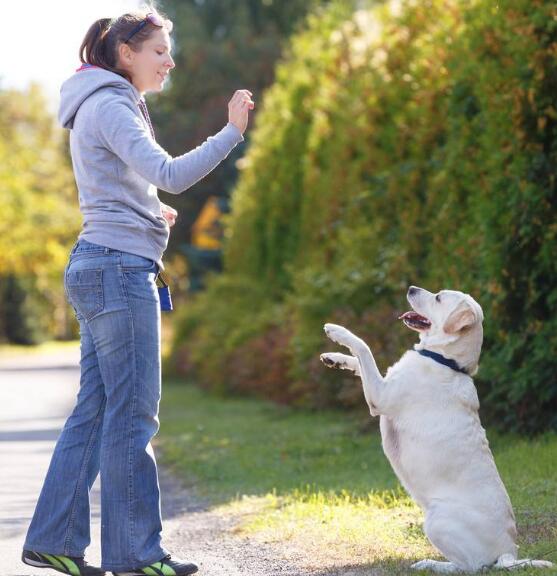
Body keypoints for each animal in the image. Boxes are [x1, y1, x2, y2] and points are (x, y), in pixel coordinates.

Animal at [320, 286, 548, 572]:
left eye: (439, 297)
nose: (411, 288)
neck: (444, 360)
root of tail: (509, 552)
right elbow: (359, 362)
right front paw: (335, 358)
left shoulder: (379, 396)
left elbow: (364, 348)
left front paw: (337, 331)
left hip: (436, 519)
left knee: (472, 567)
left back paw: (431, 564)